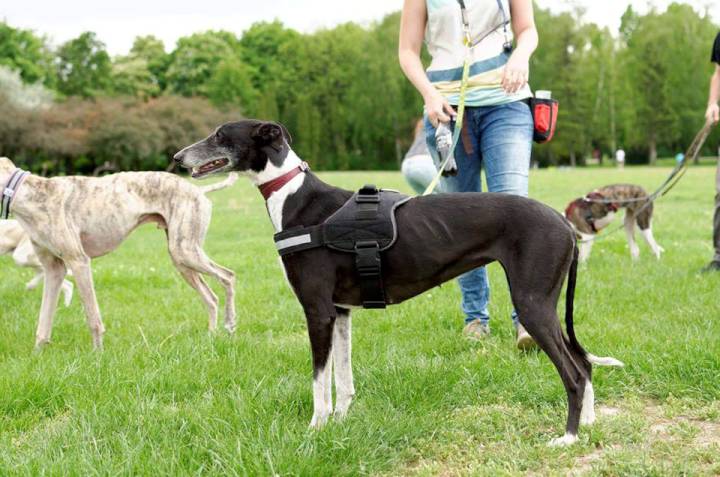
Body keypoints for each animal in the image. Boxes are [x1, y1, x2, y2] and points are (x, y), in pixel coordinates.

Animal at [0, 157, 237, 349]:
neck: (31, 195)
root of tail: (198, 190)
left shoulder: (79, 261)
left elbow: (93, 318)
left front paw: (97, 356)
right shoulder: (53, 270)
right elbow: (44, 321)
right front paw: (37, 355)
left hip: (186, 251)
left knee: (228, 276)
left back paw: (230, 323)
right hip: (181, 258)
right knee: (211, 298)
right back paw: (211, 337)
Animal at [174, 119, 623, 446]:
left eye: (220, 135)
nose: (177, 158)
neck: (295, 197)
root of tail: (562, 223)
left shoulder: (316, 311)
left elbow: (319, 382)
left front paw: (315, 430)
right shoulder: (340, 312)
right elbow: (343, 379)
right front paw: (341, 424)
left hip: (531, 303)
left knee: (573, 372)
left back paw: (567, 437)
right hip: (546, 304)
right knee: (583, 364)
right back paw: (588, 425)